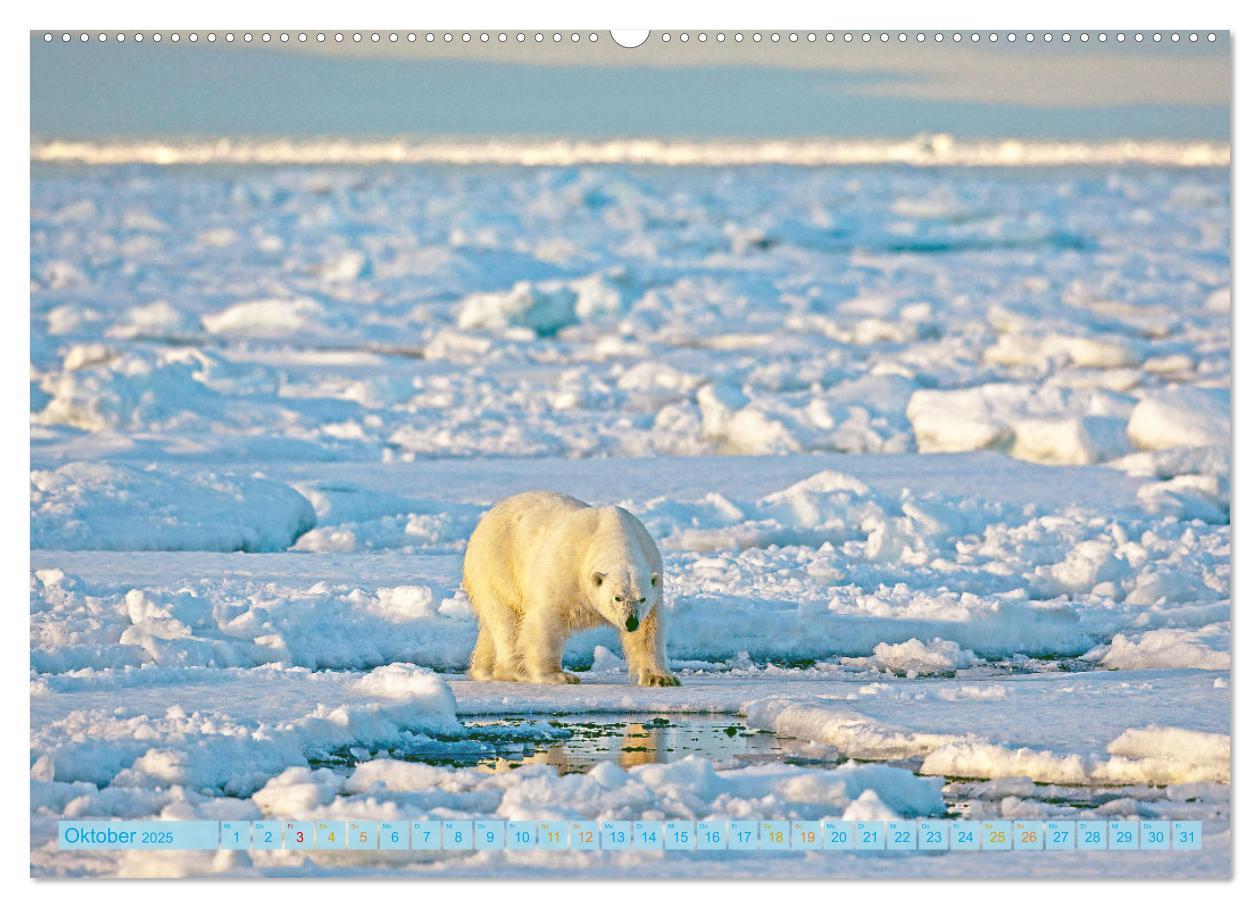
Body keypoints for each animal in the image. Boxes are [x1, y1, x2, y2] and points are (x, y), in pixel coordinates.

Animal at [463, 491, 680, 685]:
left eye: (642, 598)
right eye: (617, 597)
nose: (631, 622)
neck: (612, 535)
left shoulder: (652, 571)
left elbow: (648, 631)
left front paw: (660, 678)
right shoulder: (565, 570)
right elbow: (545, 620)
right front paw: (559, 676)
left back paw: (484, 670)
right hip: (496, 566)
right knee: (507, 621)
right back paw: (518, 671)